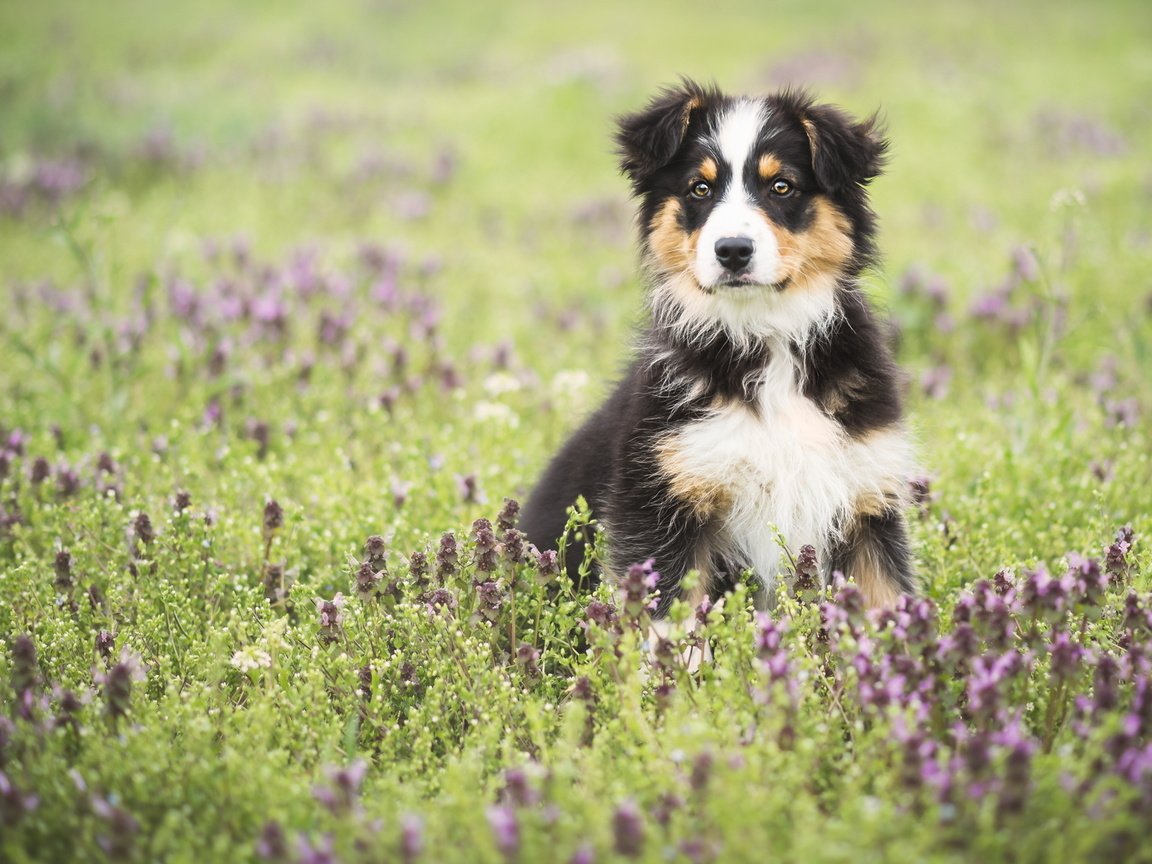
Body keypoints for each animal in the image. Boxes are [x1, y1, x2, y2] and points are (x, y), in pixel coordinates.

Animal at [525, 79, 916, 617]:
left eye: (781, 186)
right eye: (700, 188)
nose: (732, 250)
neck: (763, 338)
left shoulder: (866, 496)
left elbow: (889, 601)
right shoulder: (663, 502)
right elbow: (668, 617)